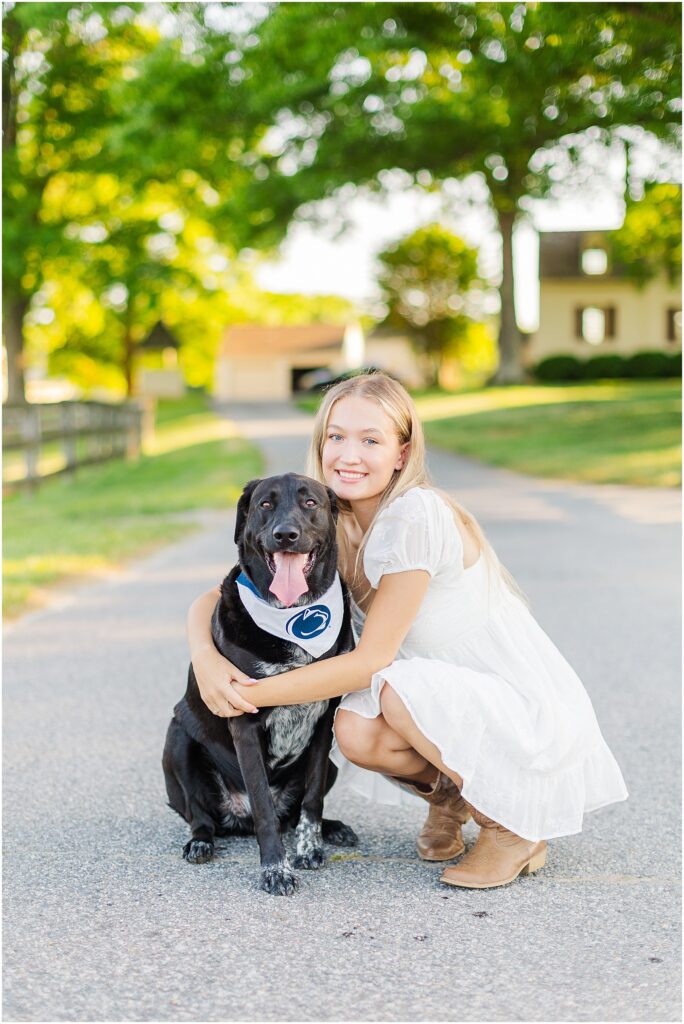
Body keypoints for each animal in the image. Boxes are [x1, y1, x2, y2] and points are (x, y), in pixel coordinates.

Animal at [162, 473, 358, 897]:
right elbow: (265, 812)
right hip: (177, 739)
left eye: (310, 502)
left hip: (333, 762)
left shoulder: (324, 723)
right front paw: (275, 869)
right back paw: (200, 843)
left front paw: (309, 847)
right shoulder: (244, 722)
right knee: (201, 817)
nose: (285, 534)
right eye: (265, 505)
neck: (292, 615)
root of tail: (238, 821)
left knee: (296, 812)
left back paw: (334, 829)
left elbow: (312, 800)